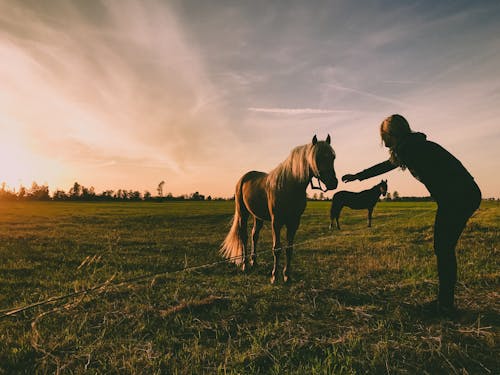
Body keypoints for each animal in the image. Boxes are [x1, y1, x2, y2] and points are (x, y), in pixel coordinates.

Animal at [221, 134, 338, 284]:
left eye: (333, 157)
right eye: (317, 157)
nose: (333, 182)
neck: (289, 186)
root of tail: (243, 178)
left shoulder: (294, 222)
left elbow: (289, 248)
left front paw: (287, 276)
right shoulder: (276, 222)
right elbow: (277, 248)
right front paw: (274, 276)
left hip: (257, 217)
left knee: (254, 235)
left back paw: (254, 262)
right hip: (243, 213)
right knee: (244, 236)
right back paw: (245, 265)